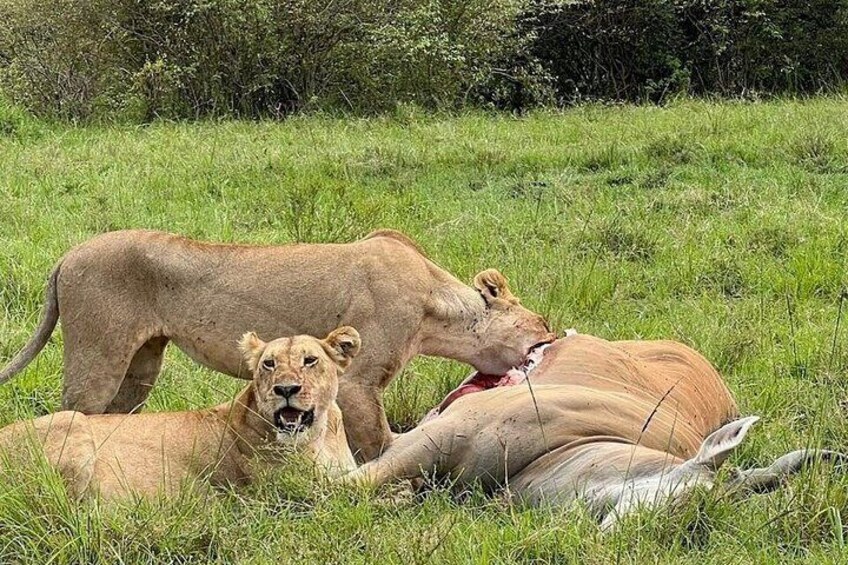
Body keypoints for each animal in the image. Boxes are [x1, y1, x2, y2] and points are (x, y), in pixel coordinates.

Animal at [0, 229, 554, 461]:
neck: (435, 308)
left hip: (140, 364)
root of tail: (66, 256)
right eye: (542, 322)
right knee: (72, 410)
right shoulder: (357, 379)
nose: (553, 335)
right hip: (98, 355)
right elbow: (378, 444)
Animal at [0, 327, 360, 501]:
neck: (321, 435)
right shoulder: (299, 491)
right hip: (72, 421)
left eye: (310, 360)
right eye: (268, 364)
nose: (285, 389)